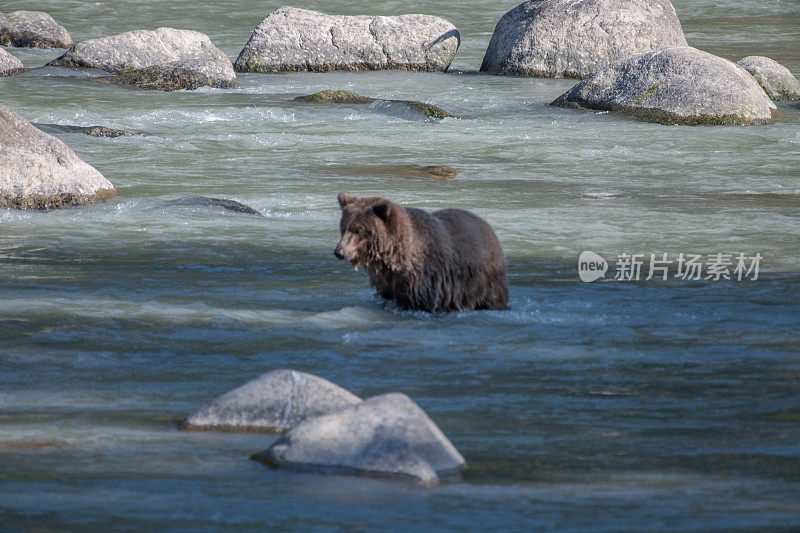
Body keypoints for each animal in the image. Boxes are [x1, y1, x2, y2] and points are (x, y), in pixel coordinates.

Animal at [334, 193, 510, 312]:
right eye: (343, 227)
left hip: (484, 280)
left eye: (358, 230)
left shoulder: (423, 279)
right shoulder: (386, 281)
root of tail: (487, 225)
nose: (339, 252)